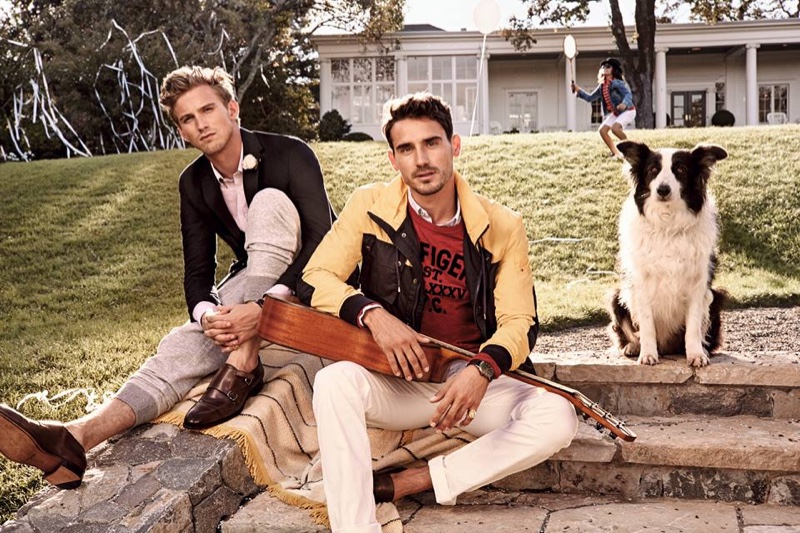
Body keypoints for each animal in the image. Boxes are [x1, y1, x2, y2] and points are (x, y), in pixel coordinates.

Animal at [608, 140, 728, 367]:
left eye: (680, 170)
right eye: (653, 170)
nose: (662, 189)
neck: (668, 223)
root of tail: (667, 347)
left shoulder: (698, 283)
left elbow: (693, 325)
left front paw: (696, 354)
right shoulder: (641, 282)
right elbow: (646, 324)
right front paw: (647, 354)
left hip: (715, 296)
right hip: (617, 295)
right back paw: (633, 347)